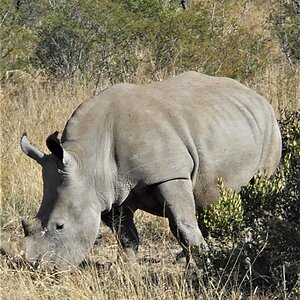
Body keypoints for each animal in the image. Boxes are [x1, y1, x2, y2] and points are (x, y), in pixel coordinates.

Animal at [0, 72, 282, 268]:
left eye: (59, 226)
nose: (37, 267)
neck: (88, 159)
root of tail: (256, 95)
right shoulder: (109, 194)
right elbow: (127, 237)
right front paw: (130, 271)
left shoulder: (169, 174)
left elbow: (183, 224)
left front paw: (203, 266)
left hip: (270, 126)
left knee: (258, 189)